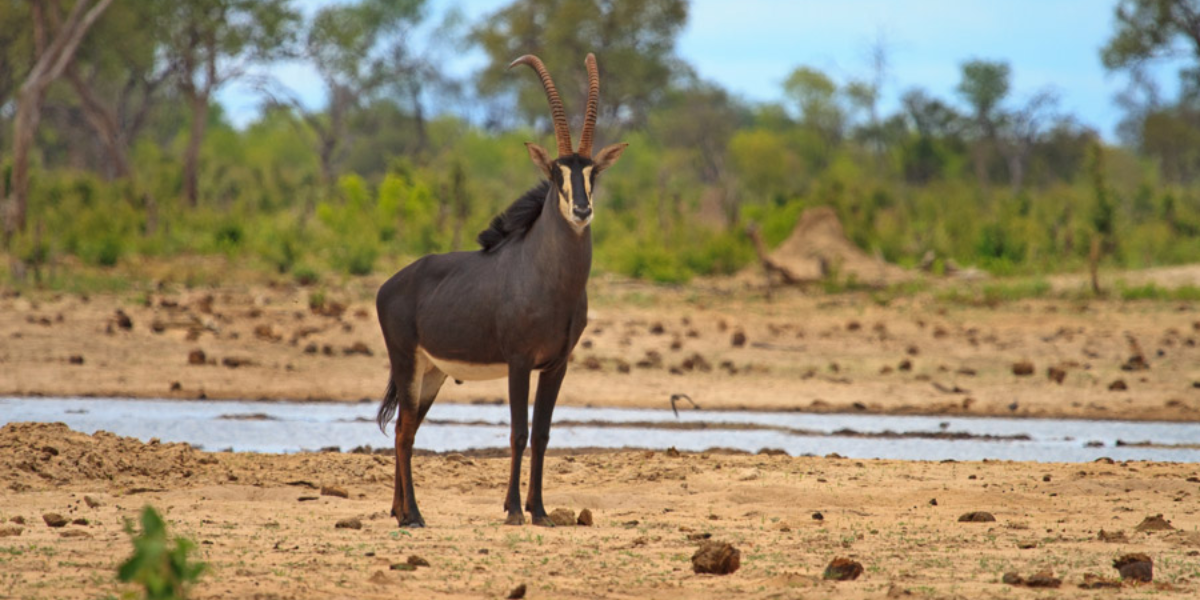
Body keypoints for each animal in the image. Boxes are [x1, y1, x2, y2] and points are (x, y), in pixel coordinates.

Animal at [374, 54, 628, 528]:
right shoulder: (518, 362)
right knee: (403, 433)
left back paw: (400, 511)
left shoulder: (556, 365)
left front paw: (540, 511)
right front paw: (513, 510)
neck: (550, 281)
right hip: (407, 362)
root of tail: (389, 285)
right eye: (556, 173)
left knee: (405, 427)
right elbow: (518, 431)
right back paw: (413, 515)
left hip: (432, 373)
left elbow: (543, 434)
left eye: (593, 172)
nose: (582, 209)